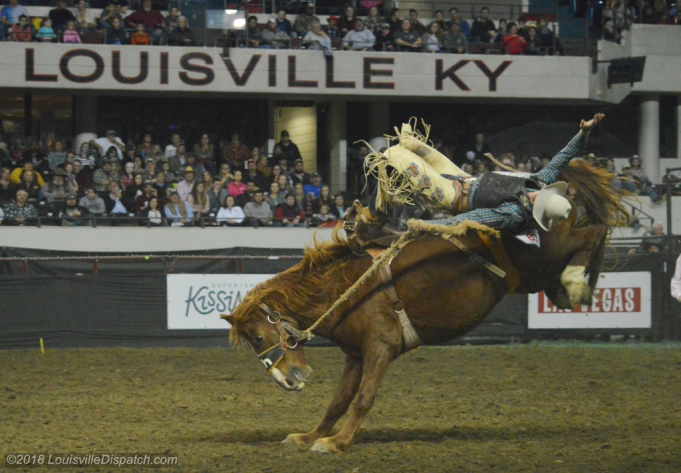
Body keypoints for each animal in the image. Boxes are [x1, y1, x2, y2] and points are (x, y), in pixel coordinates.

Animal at [220, 157, 628, 452]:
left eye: (258, 338)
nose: (289, 380)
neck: (345, 285)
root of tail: (539, 189)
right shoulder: (356, 354)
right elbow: (338, 401)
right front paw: (308, 437)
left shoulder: (381, 348)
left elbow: (363, 398)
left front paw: (337, 443)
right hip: (537, 271)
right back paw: (568, 289)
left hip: (553, 243)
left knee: (594, 230)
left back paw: (578, 282)